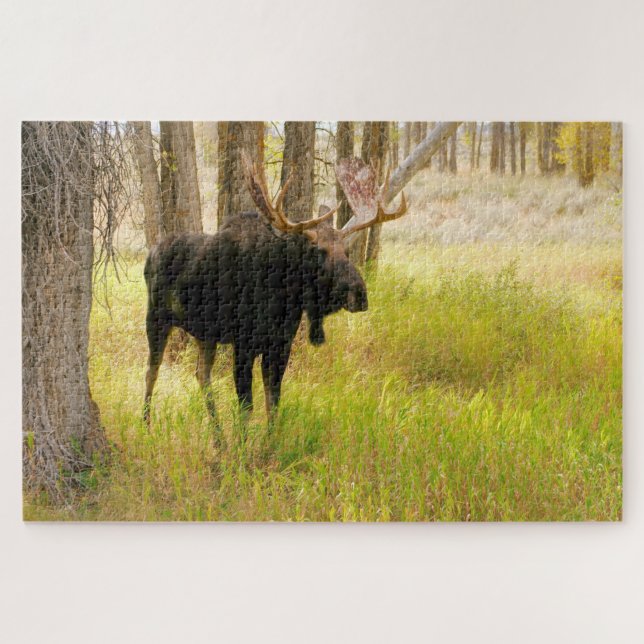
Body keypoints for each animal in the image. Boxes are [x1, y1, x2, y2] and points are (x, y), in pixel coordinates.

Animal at [143, 154, 408, 426]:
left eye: (345, 250)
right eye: (318, 251)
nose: (360, 294)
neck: (283, 299)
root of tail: (151, 254)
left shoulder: (280, 346)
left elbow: (273, 404)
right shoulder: (244, 346)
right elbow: (247, 408)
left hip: (204, 334)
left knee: (201, 374)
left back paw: (217, 433)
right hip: (156, 318)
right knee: (152, 370)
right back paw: (147, 423)